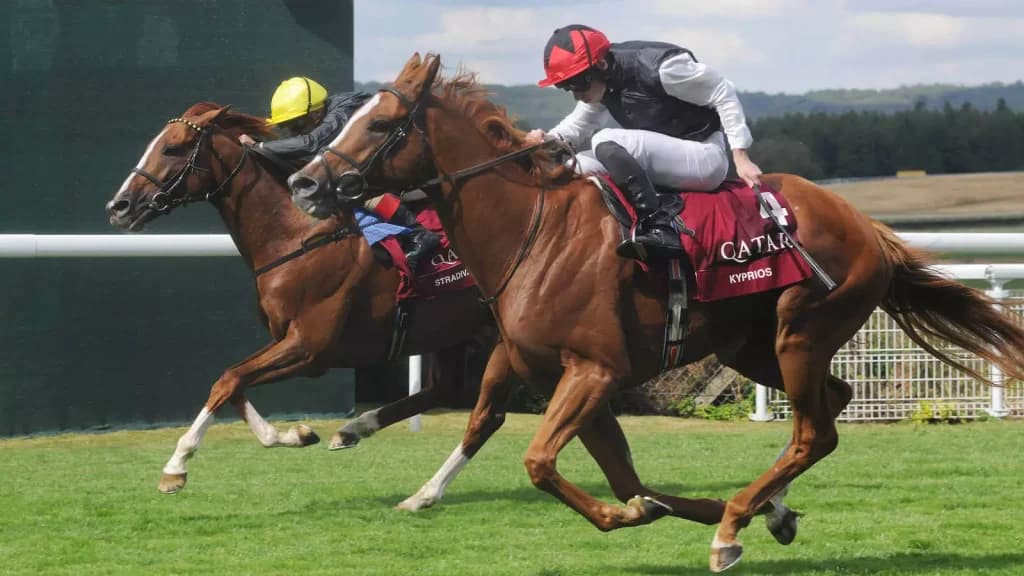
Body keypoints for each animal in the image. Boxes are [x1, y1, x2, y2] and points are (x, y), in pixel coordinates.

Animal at [106, 102, 506, 502]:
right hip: (454, 333)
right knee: (446, 389)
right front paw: (295, 435)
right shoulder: (286, 340)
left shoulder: (309, 348)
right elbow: (233, 382)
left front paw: (176, 466)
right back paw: (354, 429)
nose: (119, 206)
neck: (295, 237)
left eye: (173, 148)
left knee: (487, 414)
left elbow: (228, 380)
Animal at [286, 53, 1024, 572]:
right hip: (749, 346)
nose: (303, 183)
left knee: (816, 433)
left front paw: (656, 516)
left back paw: (734, 525)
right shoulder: (573, 379)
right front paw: (713, 511)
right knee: (832, 404)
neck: (533, 231)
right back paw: (761, 506)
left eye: (381, 124)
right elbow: (623, 476)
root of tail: (866, 226)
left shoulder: (593, 372)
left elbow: (543, 464)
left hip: (802, 330)